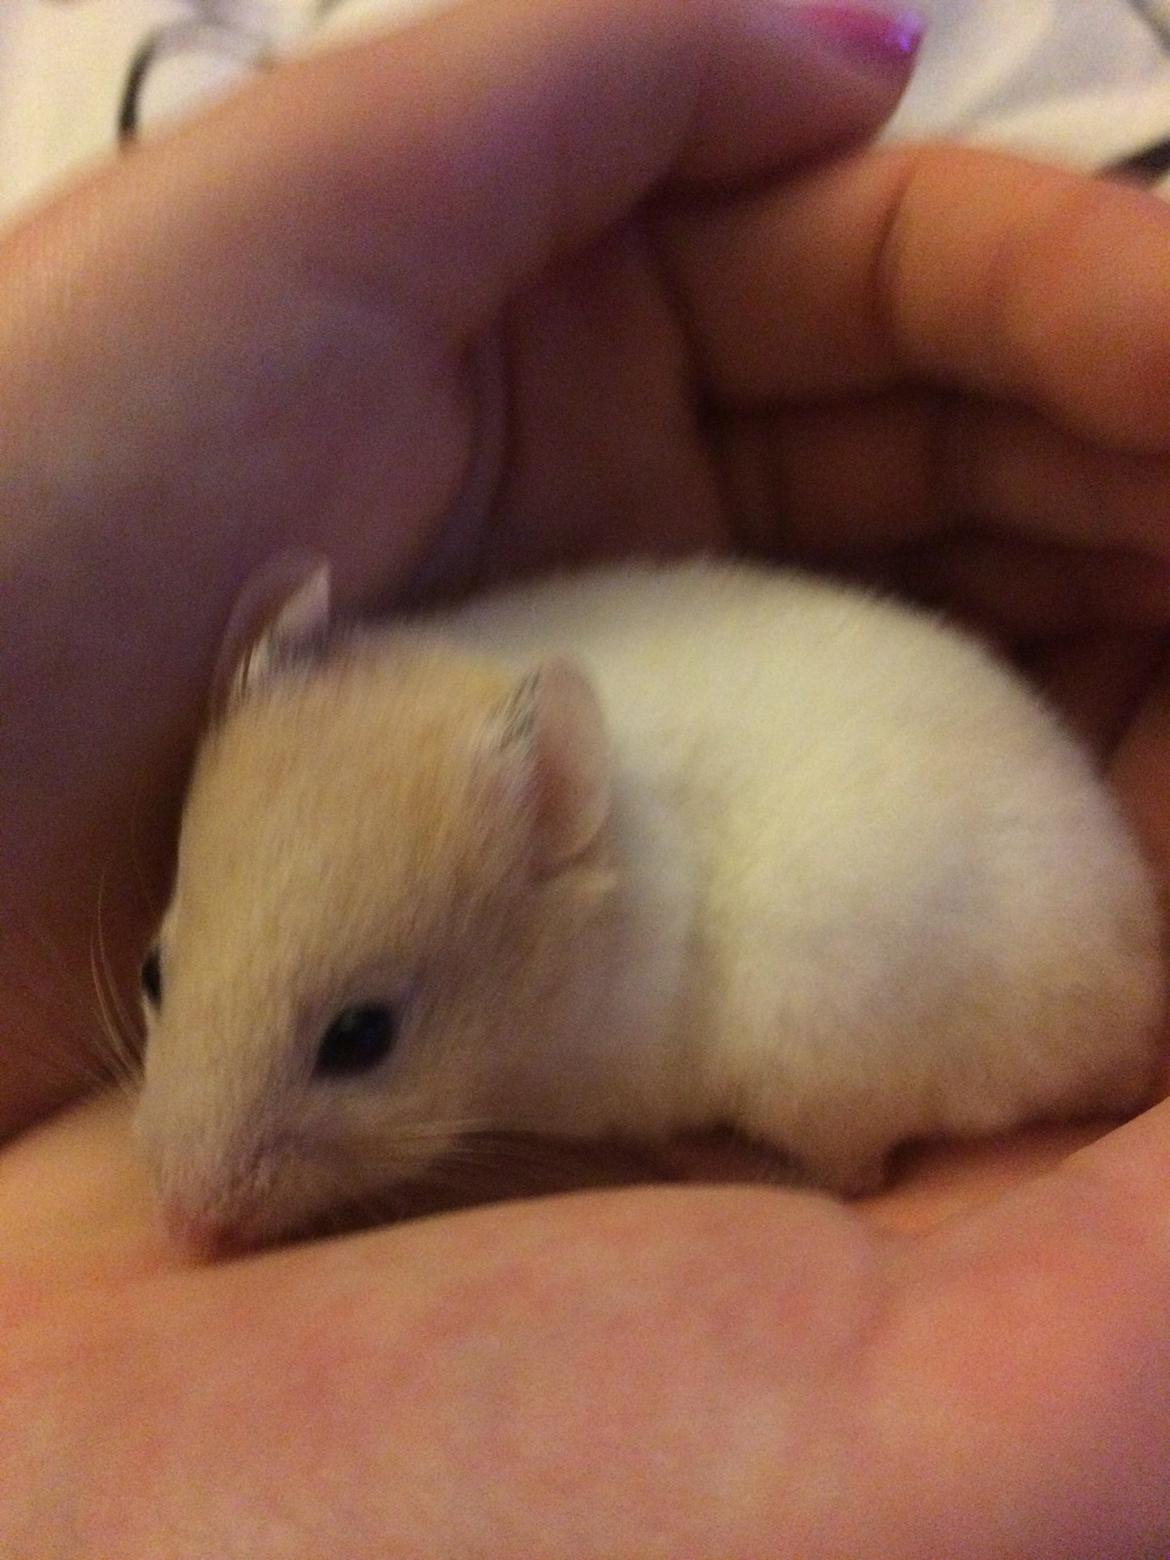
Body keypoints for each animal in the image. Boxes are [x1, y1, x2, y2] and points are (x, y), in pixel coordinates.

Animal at [134, 556, 1165, 1252]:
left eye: (362, 1038)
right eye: (152, 973)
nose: (184, 1228)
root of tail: (1135, 1015)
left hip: (812, 1052)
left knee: (855, 1172)